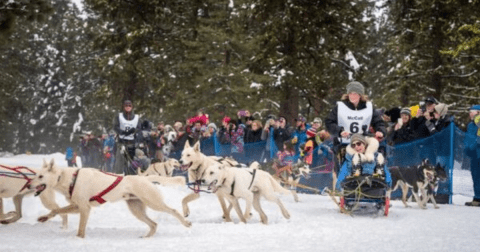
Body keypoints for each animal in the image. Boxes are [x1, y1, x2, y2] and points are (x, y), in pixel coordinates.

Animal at [29, 159, 191, 238]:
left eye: (40, 176)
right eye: (36, 175)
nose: (29, 185)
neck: (69, 179)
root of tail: (144, 178)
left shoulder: (85, 208)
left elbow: (81, 229)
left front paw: (78, 239)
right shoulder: (77, 206)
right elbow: (56, 210)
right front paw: (43, 218)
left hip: (154, 203)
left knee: (173, 211)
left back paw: (186, 222)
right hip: (136, 210)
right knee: (154, 224)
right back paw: (146, 237)